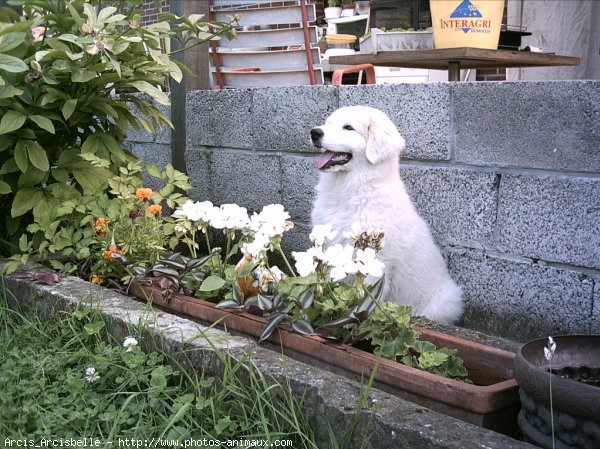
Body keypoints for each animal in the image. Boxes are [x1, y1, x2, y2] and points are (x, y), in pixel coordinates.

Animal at [310, 106, 464, 322]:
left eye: (348, 127)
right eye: (328, 123)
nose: (314, 132)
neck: (353, 188)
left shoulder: (373, 259)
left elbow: (363, 296)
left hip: (444, 303)